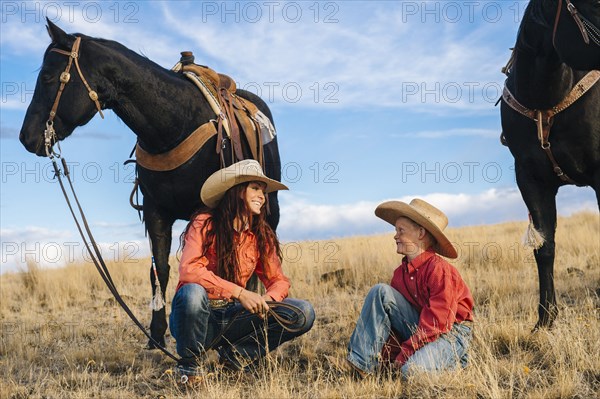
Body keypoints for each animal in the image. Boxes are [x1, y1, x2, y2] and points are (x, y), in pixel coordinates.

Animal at [17, 20, 282, 348]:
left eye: (47, 77)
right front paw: (156, 334)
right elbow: (160, 271)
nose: (26, 137)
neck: (175, 124)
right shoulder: (156, 211)